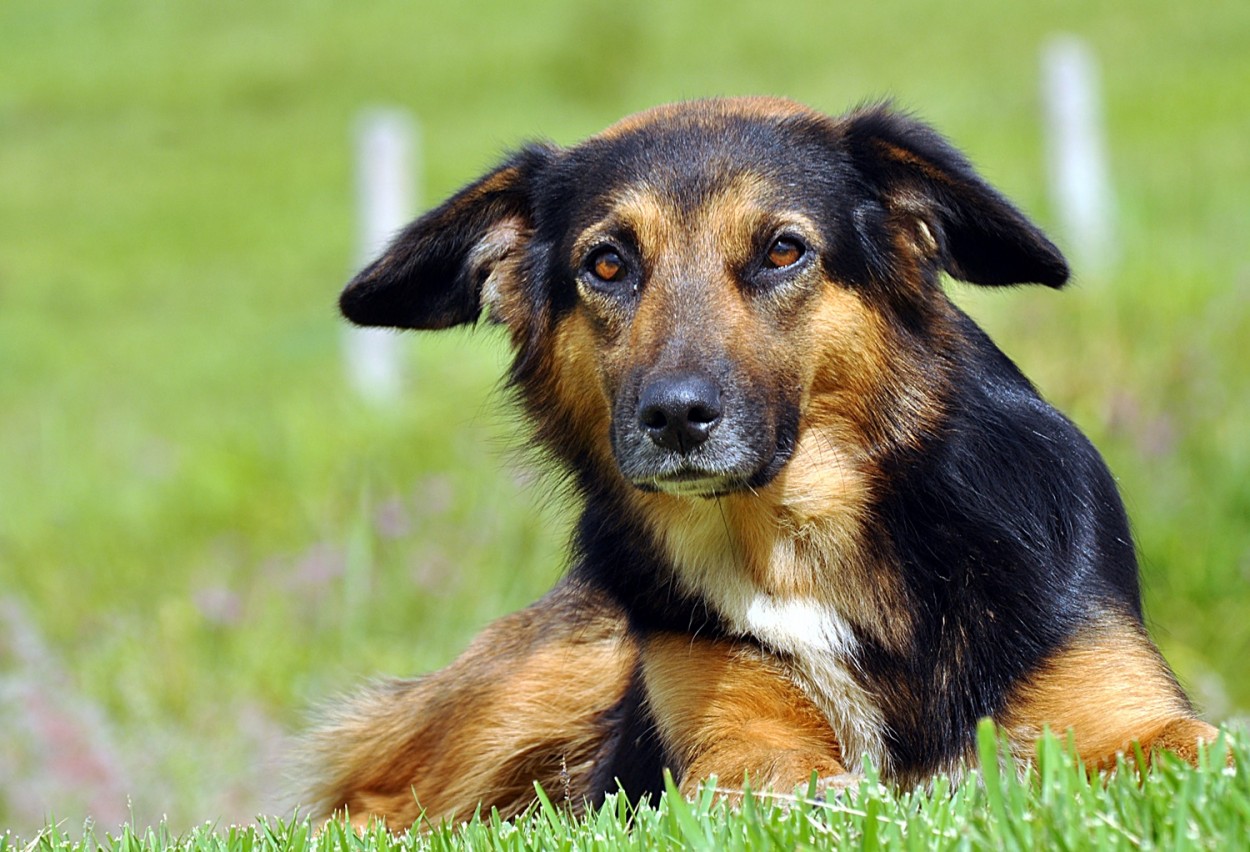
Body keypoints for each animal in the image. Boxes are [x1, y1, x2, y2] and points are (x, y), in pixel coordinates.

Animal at [305, 96, 1220, 824]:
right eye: (607, 262)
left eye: (783, 250)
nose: (675, 417)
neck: (798, 536)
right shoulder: (725, 741)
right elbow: (777, 775)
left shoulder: (1119, 708)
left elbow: (1195, 744)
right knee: (375, 802)